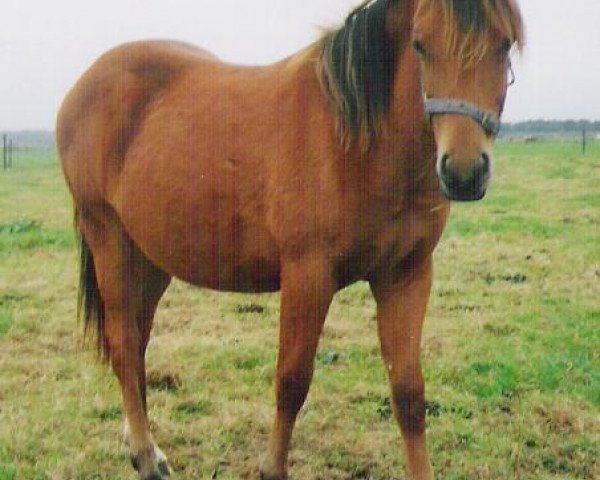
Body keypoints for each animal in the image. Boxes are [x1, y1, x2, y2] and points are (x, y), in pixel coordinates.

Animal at [58, 0, 524, 480]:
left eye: (503, 44)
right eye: (419, 45)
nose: (464, 172)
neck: (356, 143)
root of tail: (83, 87)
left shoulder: (406, 275)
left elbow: (409, 392)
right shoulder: (308, 275)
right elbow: (293, 380)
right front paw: (272, 467)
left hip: (149, 259)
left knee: (134, 344)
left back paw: (140, 446)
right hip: (109, 240)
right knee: (125, 345)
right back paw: (147, 456)